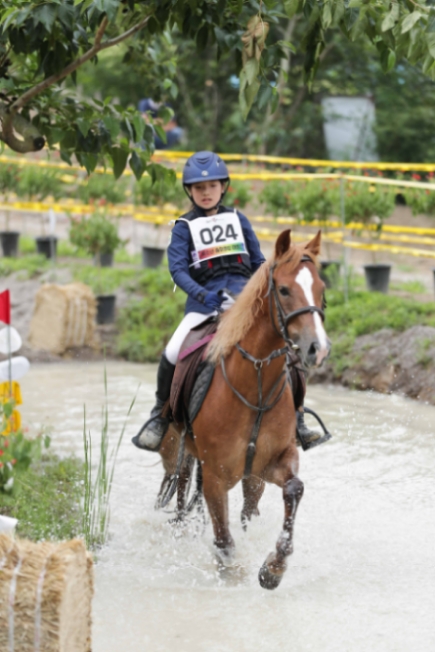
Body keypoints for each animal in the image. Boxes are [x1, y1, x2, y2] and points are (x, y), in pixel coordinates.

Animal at [158, 230, 328, 592]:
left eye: (321, 288)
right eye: (284, 290)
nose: (316, 349)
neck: (255, 385)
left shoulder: (274, 461)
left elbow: (294, 488)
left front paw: (273, 568)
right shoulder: (216, 476)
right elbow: (224, 542)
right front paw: (233, 575)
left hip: (252, 476)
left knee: (248, 511)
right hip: (183, 446)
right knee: (182, 487)